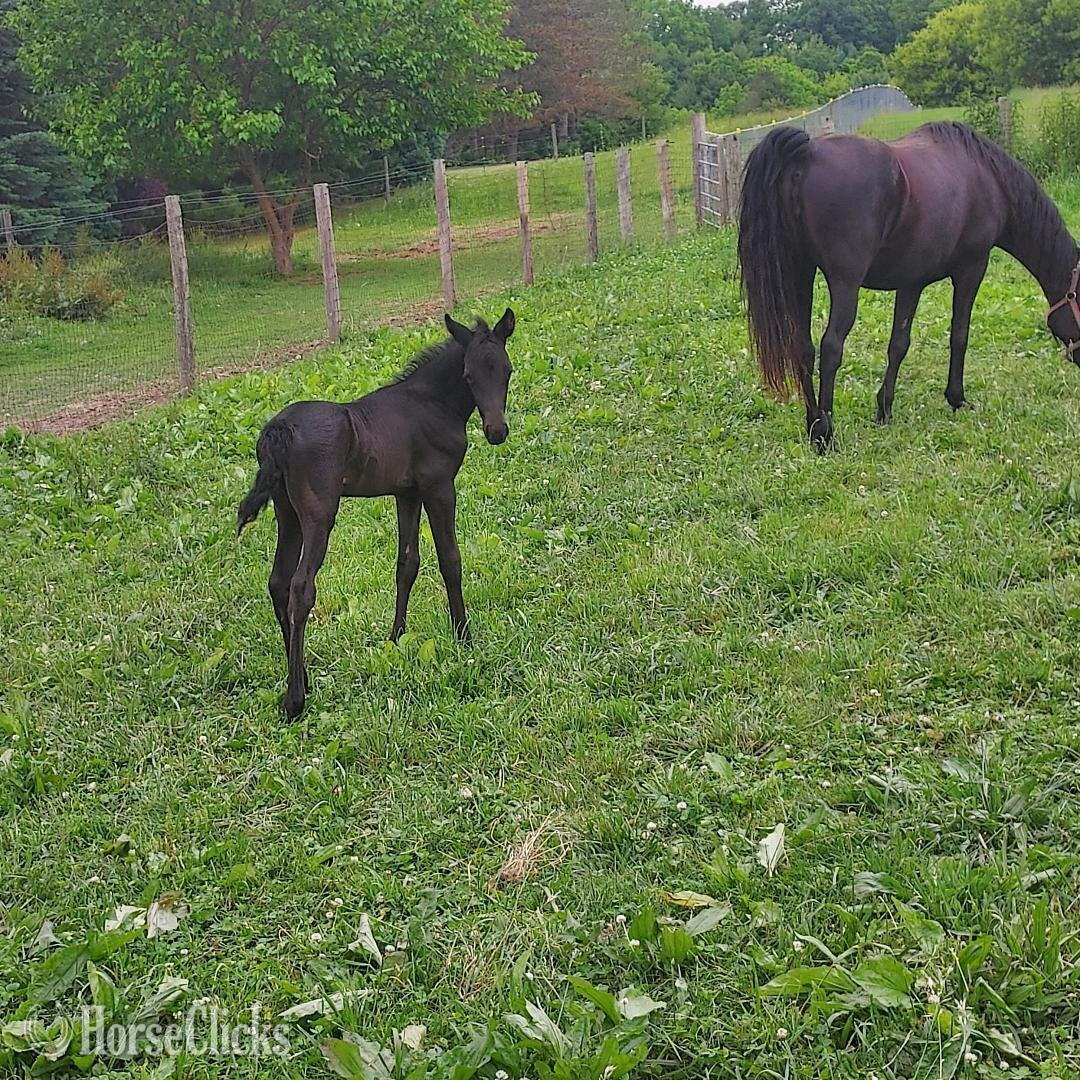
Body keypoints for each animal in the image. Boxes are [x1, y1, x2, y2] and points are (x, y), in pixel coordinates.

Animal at [237, 309, 516, 718]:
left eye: (507, 370)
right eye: (468, 376)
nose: (497, 431)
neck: (431, 404)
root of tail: (278, 430)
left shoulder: (407, 493)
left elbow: (406, 564)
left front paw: (395, 638)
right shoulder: (438, 487)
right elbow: (450, 560)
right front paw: (464, 637)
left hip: (287, 515)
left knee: (278, 583)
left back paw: (302, 677)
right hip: (318, 516)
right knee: (301, 588)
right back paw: (295, 700)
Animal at [737, 121, 1080, 450]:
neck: (988, 178)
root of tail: (806, 154)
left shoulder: (911, 282)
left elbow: (898, 345)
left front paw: (884, 409)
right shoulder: (972, 268)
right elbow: (959, 335)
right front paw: (957, 398)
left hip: (801, 272)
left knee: (803, 346)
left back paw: (812, 425)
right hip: (844, 283)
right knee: (831, 346)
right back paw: (826, 434)